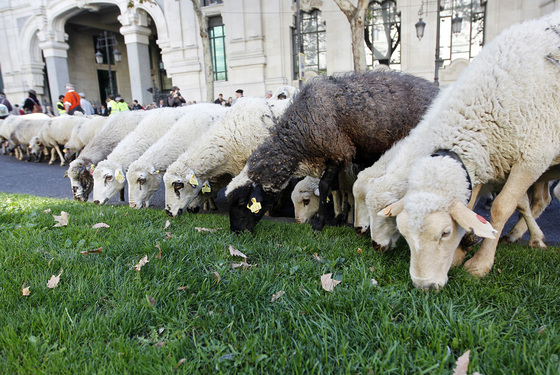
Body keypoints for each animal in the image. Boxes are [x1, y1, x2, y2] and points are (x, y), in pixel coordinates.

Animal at [225, 68, 440, 232]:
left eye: (241, 202)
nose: (236, 231)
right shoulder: (336, 158)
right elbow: (339, 189)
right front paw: (338, 218)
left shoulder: (338, 151)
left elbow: (325, 186)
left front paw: (320, 223)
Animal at [372, 10, 560, 290]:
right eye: (404, 234)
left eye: (445, 233)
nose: (424, 286)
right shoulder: (484, 161)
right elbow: (473, 206)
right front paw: (461, 251)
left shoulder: (532, 157)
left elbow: (501, 207)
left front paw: (480, 263)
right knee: (540, 201)